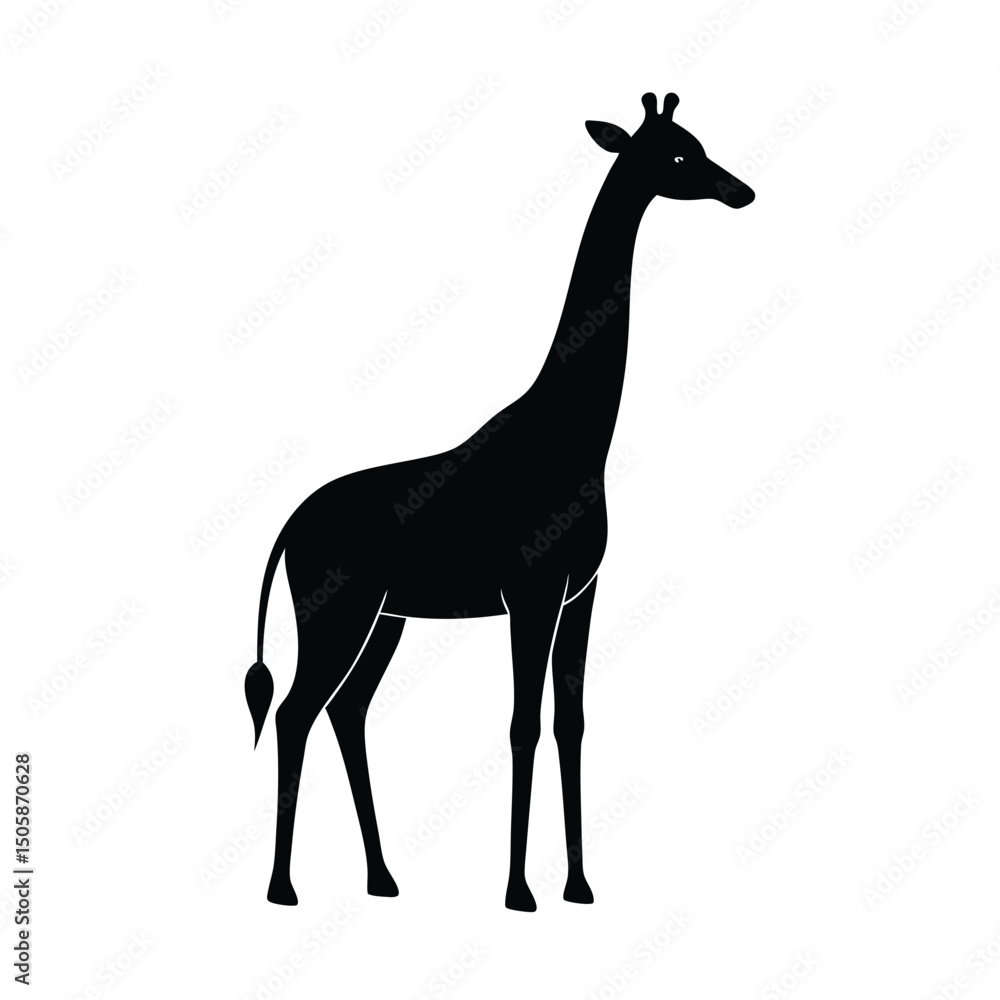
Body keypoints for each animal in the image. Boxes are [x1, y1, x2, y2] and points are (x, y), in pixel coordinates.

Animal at [245, 92, 754, 911]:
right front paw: (518, 892)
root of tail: (289, 527)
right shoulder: (532, 589)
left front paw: (579, 885)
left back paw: (383, 879)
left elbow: (571, 720)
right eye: (678, 154)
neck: (575, 434)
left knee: (346, 711)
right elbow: (523, 724)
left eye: (698, 143)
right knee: (296, 712)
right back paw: (284, 889)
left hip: (385, 617)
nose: (742, 191)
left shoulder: (582, 589)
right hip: (336, 611)